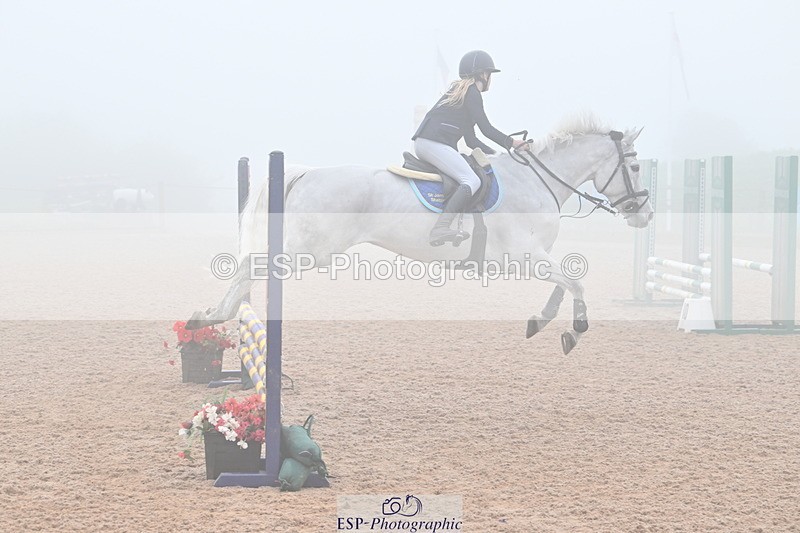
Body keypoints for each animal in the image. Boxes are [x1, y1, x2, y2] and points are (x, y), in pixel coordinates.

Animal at [187, 116, 652, 354]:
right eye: (635, 166)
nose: (644, 215)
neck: (535, 180)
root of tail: (307, 172)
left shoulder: (534, 258)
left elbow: (563, 285)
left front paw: (541, 321)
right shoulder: (524, 257)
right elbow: (575, 280)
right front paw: (576, 329)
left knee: (249, 267)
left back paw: (209, 315)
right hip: (308, 251)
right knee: (250, 266)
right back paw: (211, 315)